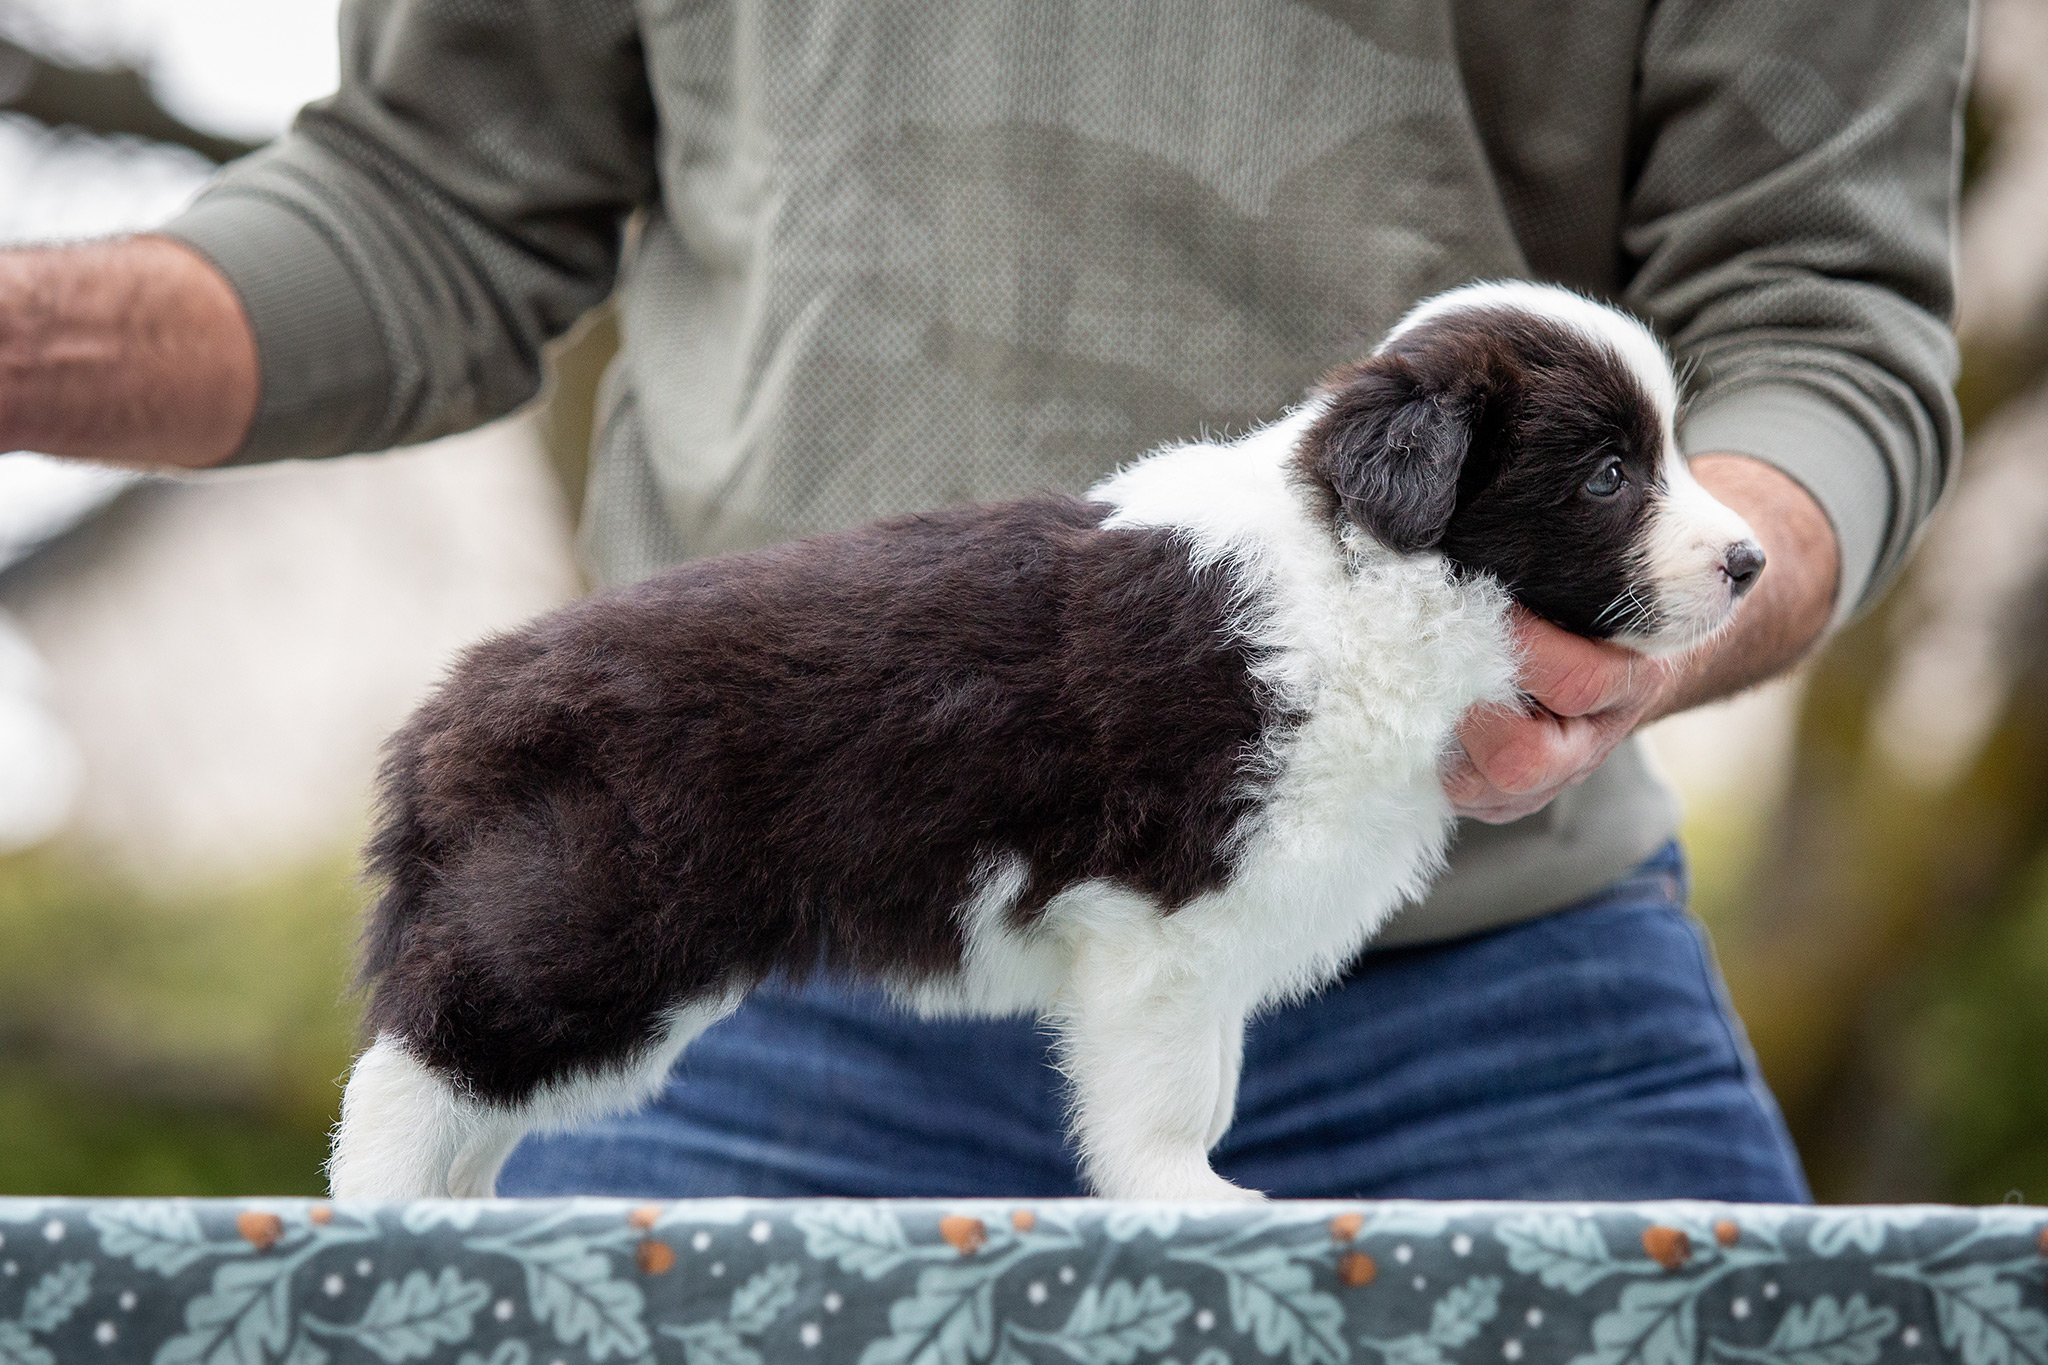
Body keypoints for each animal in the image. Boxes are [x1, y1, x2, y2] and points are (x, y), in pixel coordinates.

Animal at [331, 282, 1761, 1203]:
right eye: (1606, 477)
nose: (1751, 562)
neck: (1361, 564)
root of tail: (457, 706)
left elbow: (1215, 1078)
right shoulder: (1163, 916)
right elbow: (1167, 1094)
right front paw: (1189, 1202)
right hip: (592, 928)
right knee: (422, 1061)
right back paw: (385, 1213)